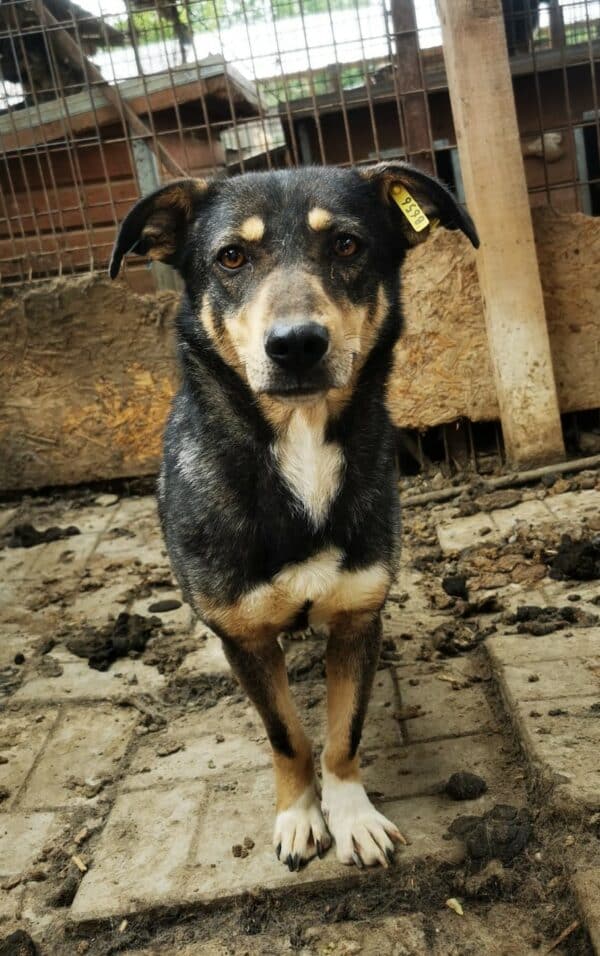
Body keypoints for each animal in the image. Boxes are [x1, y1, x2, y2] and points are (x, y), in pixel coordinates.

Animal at [111, 166, 478, 872]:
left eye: (346, 245)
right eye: (231, 256)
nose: (297, 344)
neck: (300, 441)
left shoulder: (359, 618)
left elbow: (343, 734)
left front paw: (352, 815)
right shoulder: (246, 638)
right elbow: (287, 736)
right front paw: (301, 814)